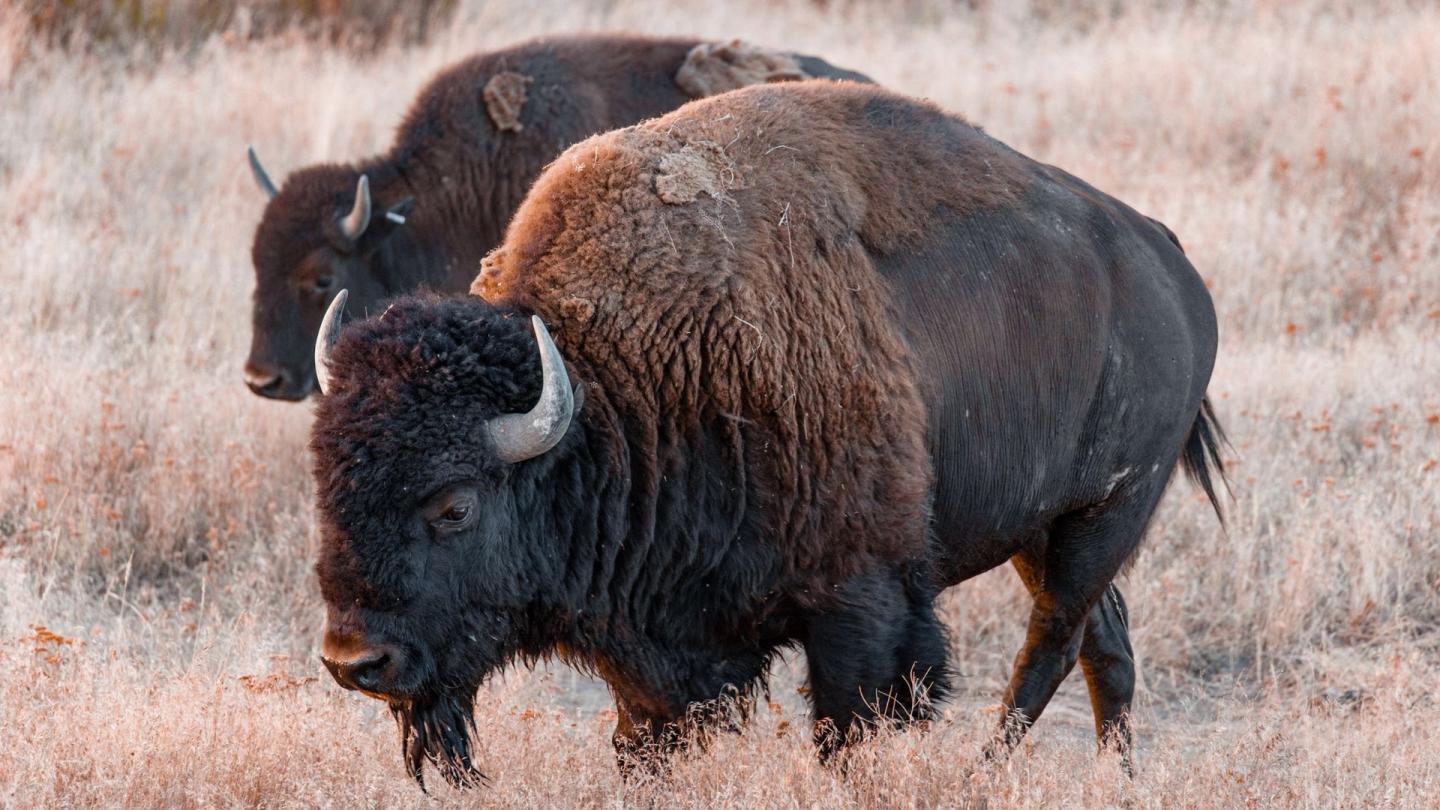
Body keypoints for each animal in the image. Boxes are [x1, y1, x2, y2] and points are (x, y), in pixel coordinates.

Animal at [306, 80, 1226, 784]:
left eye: (454, 506)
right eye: (326, 486)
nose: (355, 662)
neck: (617, 386)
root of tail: (1170, 261)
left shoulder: (862, 605)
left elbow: (850, 731)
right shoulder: (658, 653)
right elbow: (643, 741)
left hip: (1105, 514)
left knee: (1053, 644)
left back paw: (987, 772)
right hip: (1044, 527)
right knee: (1105, 643)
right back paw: (1117, 778)